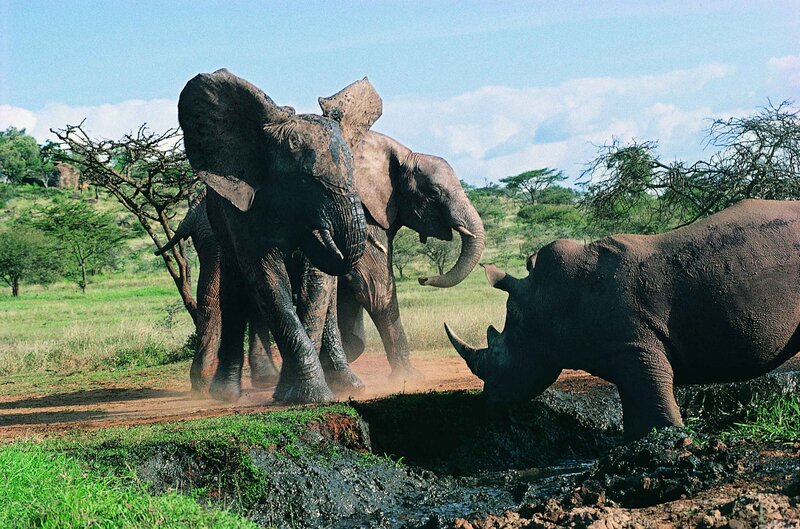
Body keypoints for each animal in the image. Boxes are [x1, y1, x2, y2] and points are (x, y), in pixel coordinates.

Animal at [177, 69, 381, 404]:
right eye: (305, 181)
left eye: (354, 171)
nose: (325, 230)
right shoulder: (244, 210)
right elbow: (268, 280)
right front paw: (310, 396)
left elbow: (316, 284)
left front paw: (296, 394)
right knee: (234, 294)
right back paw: (225, 395)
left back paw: (348, 384)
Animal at [446, 199, 800, 440]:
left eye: (501, 359)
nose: (487, 402)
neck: (546, 305)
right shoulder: (624, 349)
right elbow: (635, 405)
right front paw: (635, 442)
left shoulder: (634, 346)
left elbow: (653, 401)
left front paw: (668, 440)